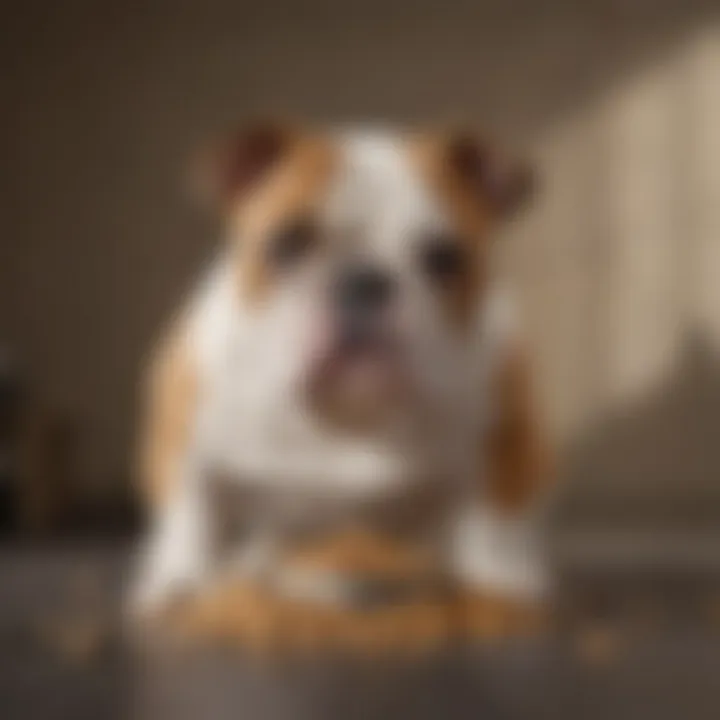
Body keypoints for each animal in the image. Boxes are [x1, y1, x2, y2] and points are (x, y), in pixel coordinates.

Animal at [129, 122, 548, 648]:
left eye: (444, 257)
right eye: (287, 242)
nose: (364, 280)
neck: (343, 412)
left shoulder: (505, 438)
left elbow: (494, 520)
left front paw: (498, 587)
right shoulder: (183, 434)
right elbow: (190, 512)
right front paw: (177, 583)